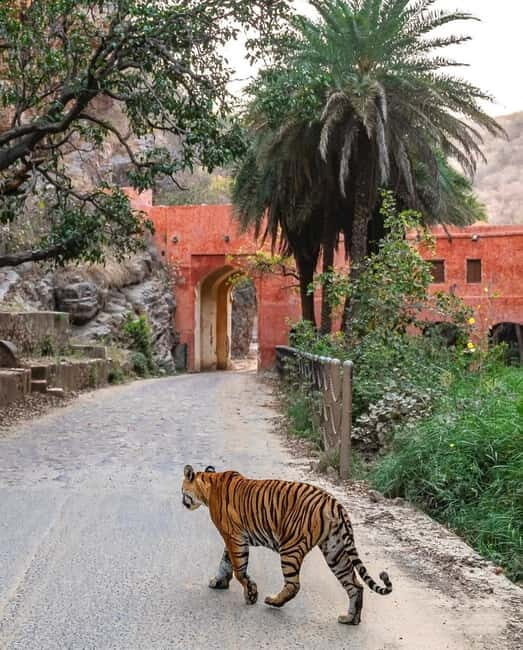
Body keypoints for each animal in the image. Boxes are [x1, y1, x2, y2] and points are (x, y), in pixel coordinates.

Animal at [181, 465, 392, 625]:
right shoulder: (234, 538)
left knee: (294, 585)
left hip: (291, 547)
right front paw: (219, 582)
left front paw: (251, 594)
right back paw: (351, 619)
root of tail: (334, 503)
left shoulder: (234, 537)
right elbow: (226, 562)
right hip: (335, 551)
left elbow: (239, 569)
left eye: (183, 490)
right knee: (355, 585)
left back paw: (273, 601)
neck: (209, 484)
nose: (182, 502)